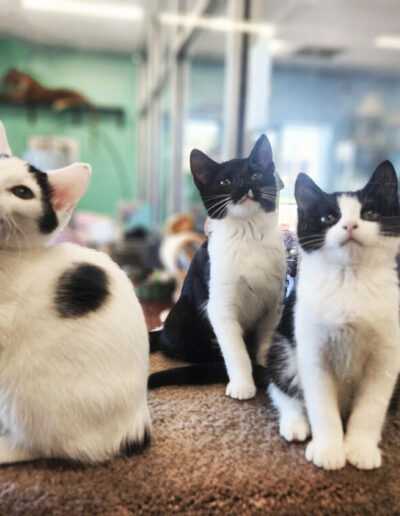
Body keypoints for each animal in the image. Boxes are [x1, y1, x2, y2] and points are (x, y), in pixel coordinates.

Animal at [151, 135, 288, 402]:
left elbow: (266, 337)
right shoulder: (220, 306)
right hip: (184, 315)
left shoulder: (273, 299)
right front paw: (243, 384)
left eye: (256, 175)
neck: (248, 236)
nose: (244, 185)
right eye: (226, 181)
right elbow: (235, 350)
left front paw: (263, 362)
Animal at [266, 163, 400, 470]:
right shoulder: (312, 351)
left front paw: (360, 447)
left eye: (370, 214)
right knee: (280, 387)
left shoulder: (388, 354)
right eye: (329, 217)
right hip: (283, 346)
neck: (350, 279)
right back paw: (295, 423)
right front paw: (329, 449)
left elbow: (372, 405)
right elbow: (320, 405)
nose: (350, 225)